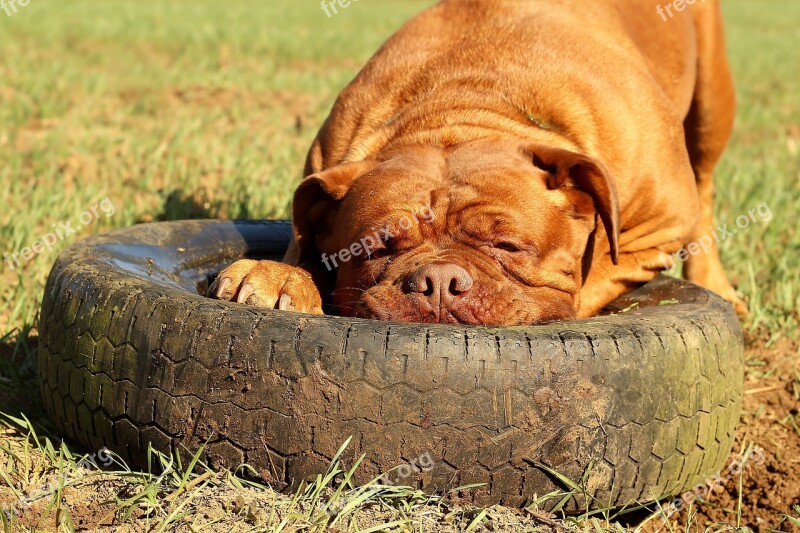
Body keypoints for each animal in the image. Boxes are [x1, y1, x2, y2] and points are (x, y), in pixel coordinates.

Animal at [208, 0, 744, 324]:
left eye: (507, 246)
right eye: (377, 248)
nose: (439, 282)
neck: (467, 104)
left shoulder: (654, 231)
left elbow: (587, 283)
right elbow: (301, 250)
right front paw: (281, 277)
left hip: (712, 100)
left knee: (706, 182)